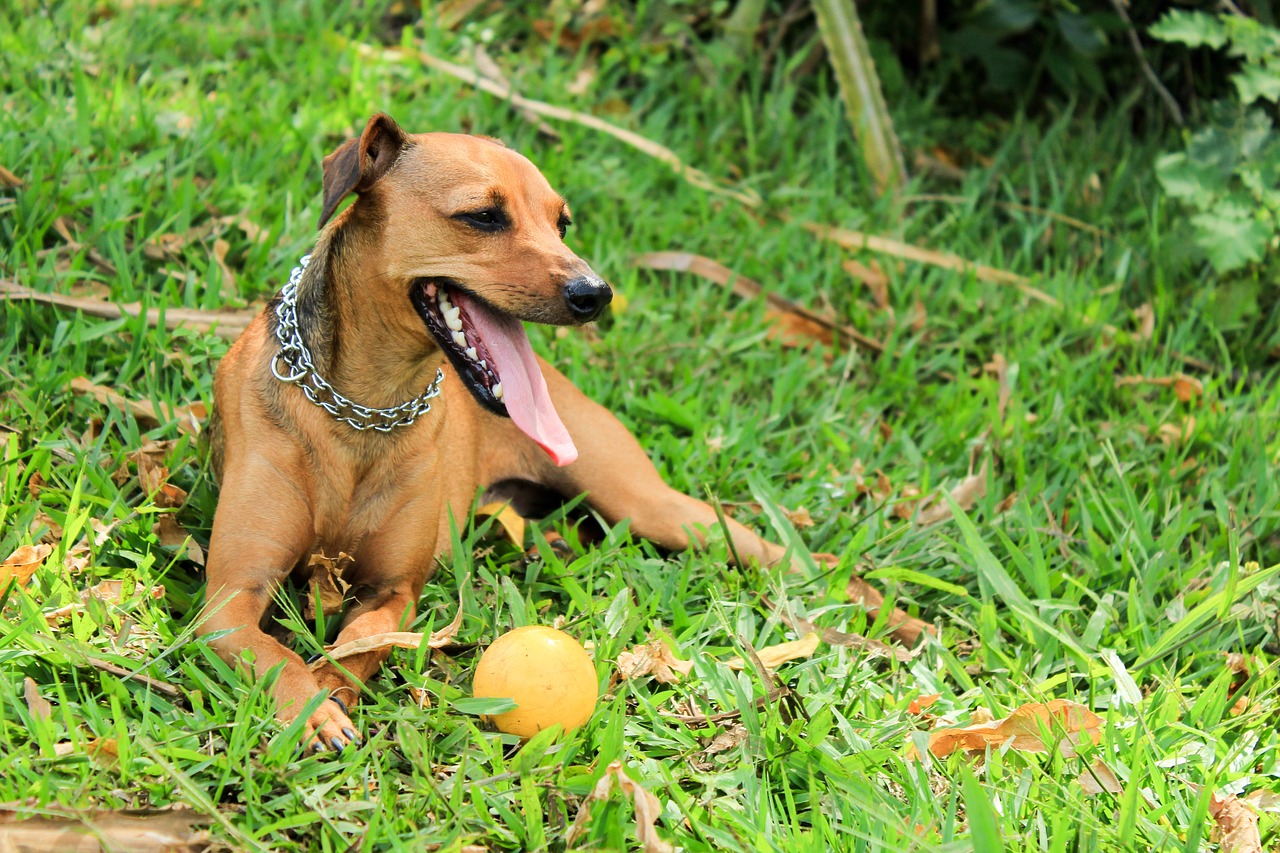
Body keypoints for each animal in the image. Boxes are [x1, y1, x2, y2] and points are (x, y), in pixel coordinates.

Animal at [197, 114, 901, 753]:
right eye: (483, 216)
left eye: (562, 224)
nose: (597, 293)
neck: (363, 407)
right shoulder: (228, 601)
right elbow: (280, 658)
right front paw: (313, 708)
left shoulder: (393, 591)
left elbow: (358, 643)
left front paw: (332, 689)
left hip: (654, 507)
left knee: (788, 555)